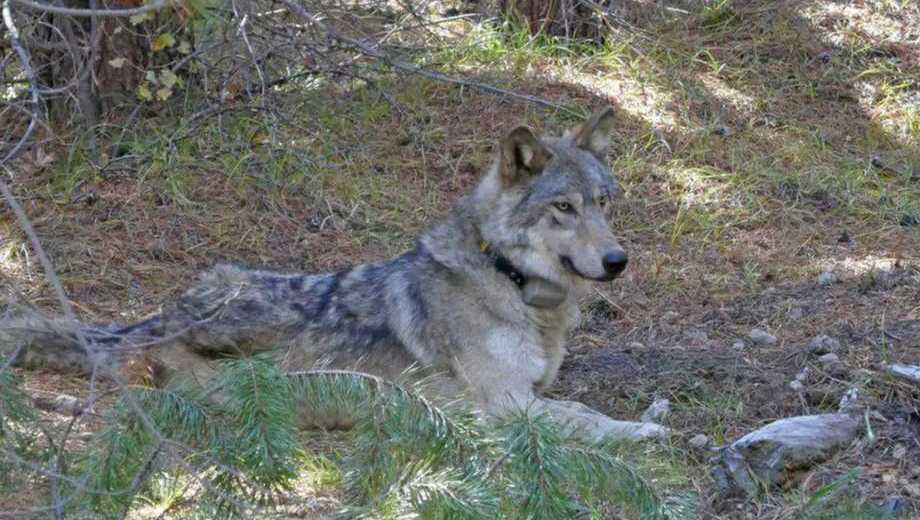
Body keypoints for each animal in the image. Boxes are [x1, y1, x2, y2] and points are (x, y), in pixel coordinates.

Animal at [1, 107, 668, 441]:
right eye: (564, 208)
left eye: (603, 203)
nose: (618, 261)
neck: (509, 280)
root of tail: (158, 317)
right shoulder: (505, 404)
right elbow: (585, 419)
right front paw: (640, 431)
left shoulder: (530, 391)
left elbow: (577, 404)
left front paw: (651, 413)